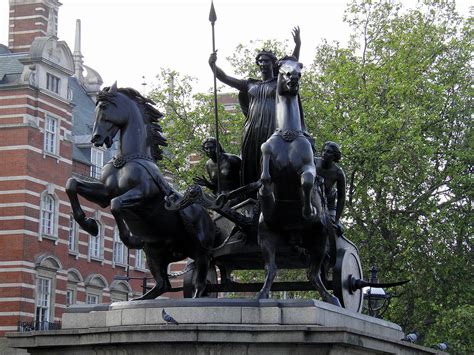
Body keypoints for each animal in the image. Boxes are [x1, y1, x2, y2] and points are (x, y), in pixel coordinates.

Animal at [64, 84, 215, 300]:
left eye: (104, 107)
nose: (96, 138)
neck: (128, 159)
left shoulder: (142, 195)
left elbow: (116, 205)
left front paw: (129, 238)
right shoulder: (104, 193)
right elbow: (72, 184)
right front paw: (89, 224)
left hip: (200, 246)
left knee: (201, 279)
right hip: (156, 253)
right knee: (163, 284)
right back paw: (141, 299)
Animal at [256, 57, 340, 308]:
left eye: (300, 68)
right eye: (282, 67)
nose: (292, 77)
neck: (288, 134)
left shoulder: (309, 166)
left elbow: (308, 180)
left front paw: (308, 208)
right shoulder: (268, 155)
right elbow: (264, 164)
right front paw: (265, 194)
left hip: (320, 238)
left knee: (313, 273)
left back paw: (330, 298)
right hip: (266, 234)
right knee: (272, 268)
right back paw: (262, 294)